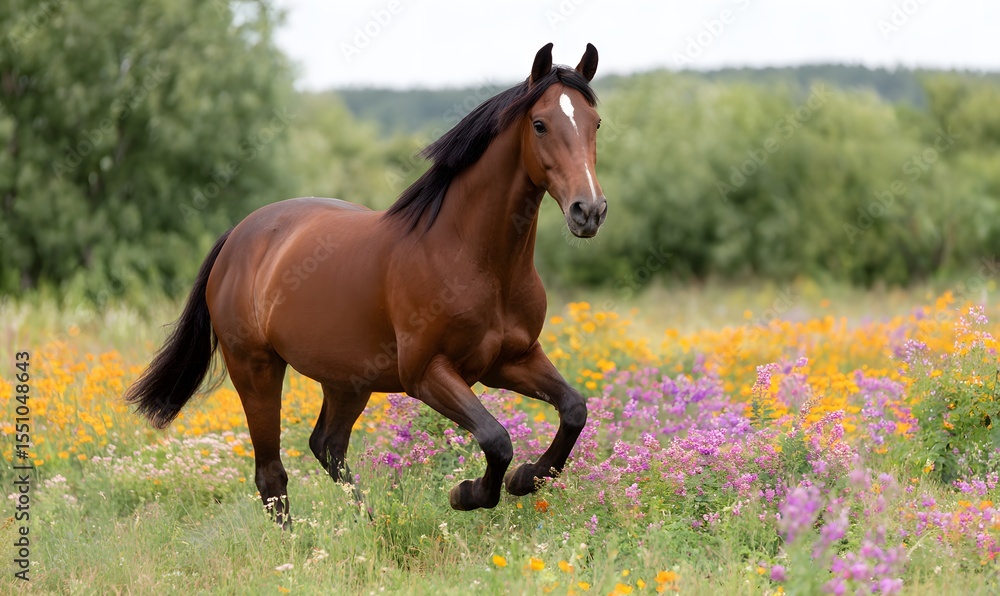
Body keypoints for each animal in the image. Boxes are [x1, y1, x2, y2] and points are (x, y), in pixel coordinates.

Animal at [124, 43, 607, 526]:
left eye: (595, 123)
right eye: (540, 124)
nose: (589, 211)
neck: (476, 259)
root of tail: (237, 236)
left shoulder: (512, 360)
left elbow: (574, 409)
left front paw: (528, 478)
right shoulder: (426, 373)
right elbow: (495, 438)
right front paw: (467, 493)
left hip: (347, 380)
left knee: (327, 447)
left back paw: (370, 522)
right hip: (256, 368)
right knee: (272, 475)